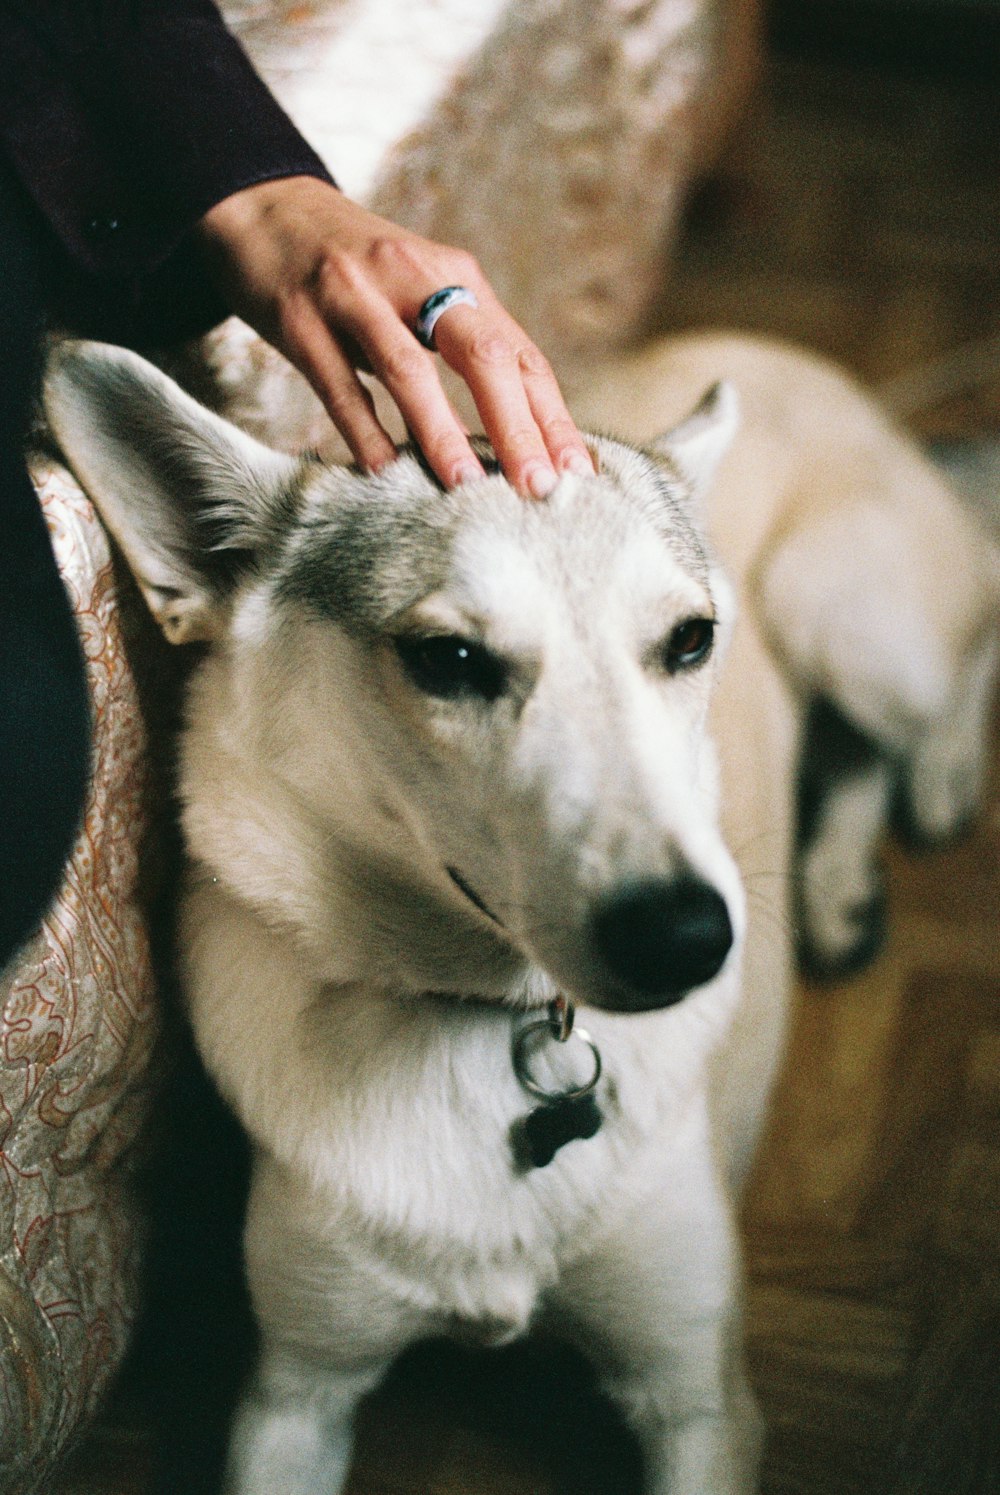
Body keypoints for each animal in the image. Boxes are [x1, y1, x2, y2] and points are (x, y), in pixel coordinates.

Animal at [44, 330, 992, 1495]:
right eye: (448, 659)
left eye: (689, 640)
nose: (690, 937)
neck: (482, 1024)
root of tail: (767, 350)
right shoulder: (295, 1389)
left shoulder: (698, 1396)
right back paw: (843, 879)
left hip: (843, 616)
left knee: (964, 641)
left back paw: (939, 784)